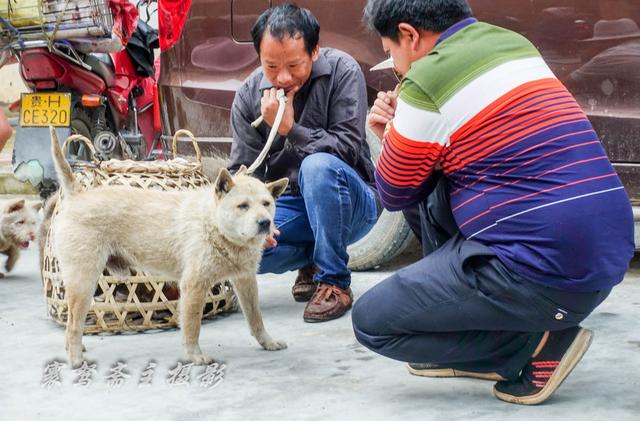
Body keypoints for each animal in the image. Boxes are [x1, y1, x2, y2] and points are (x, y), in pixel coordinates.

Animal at [48, 126, 288, 366]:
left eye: (266, 203)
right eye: (243, 206)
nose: (265, 222)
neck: (213, 225)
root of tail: (78, 195)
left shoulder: (246, 281)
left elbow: (256, 317)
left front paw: (267, 341)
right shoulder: (193, 286)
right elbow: (192, 326)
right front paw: (194, 355)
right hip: (84, 283)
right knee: (73, 325)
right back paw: (76, 359)